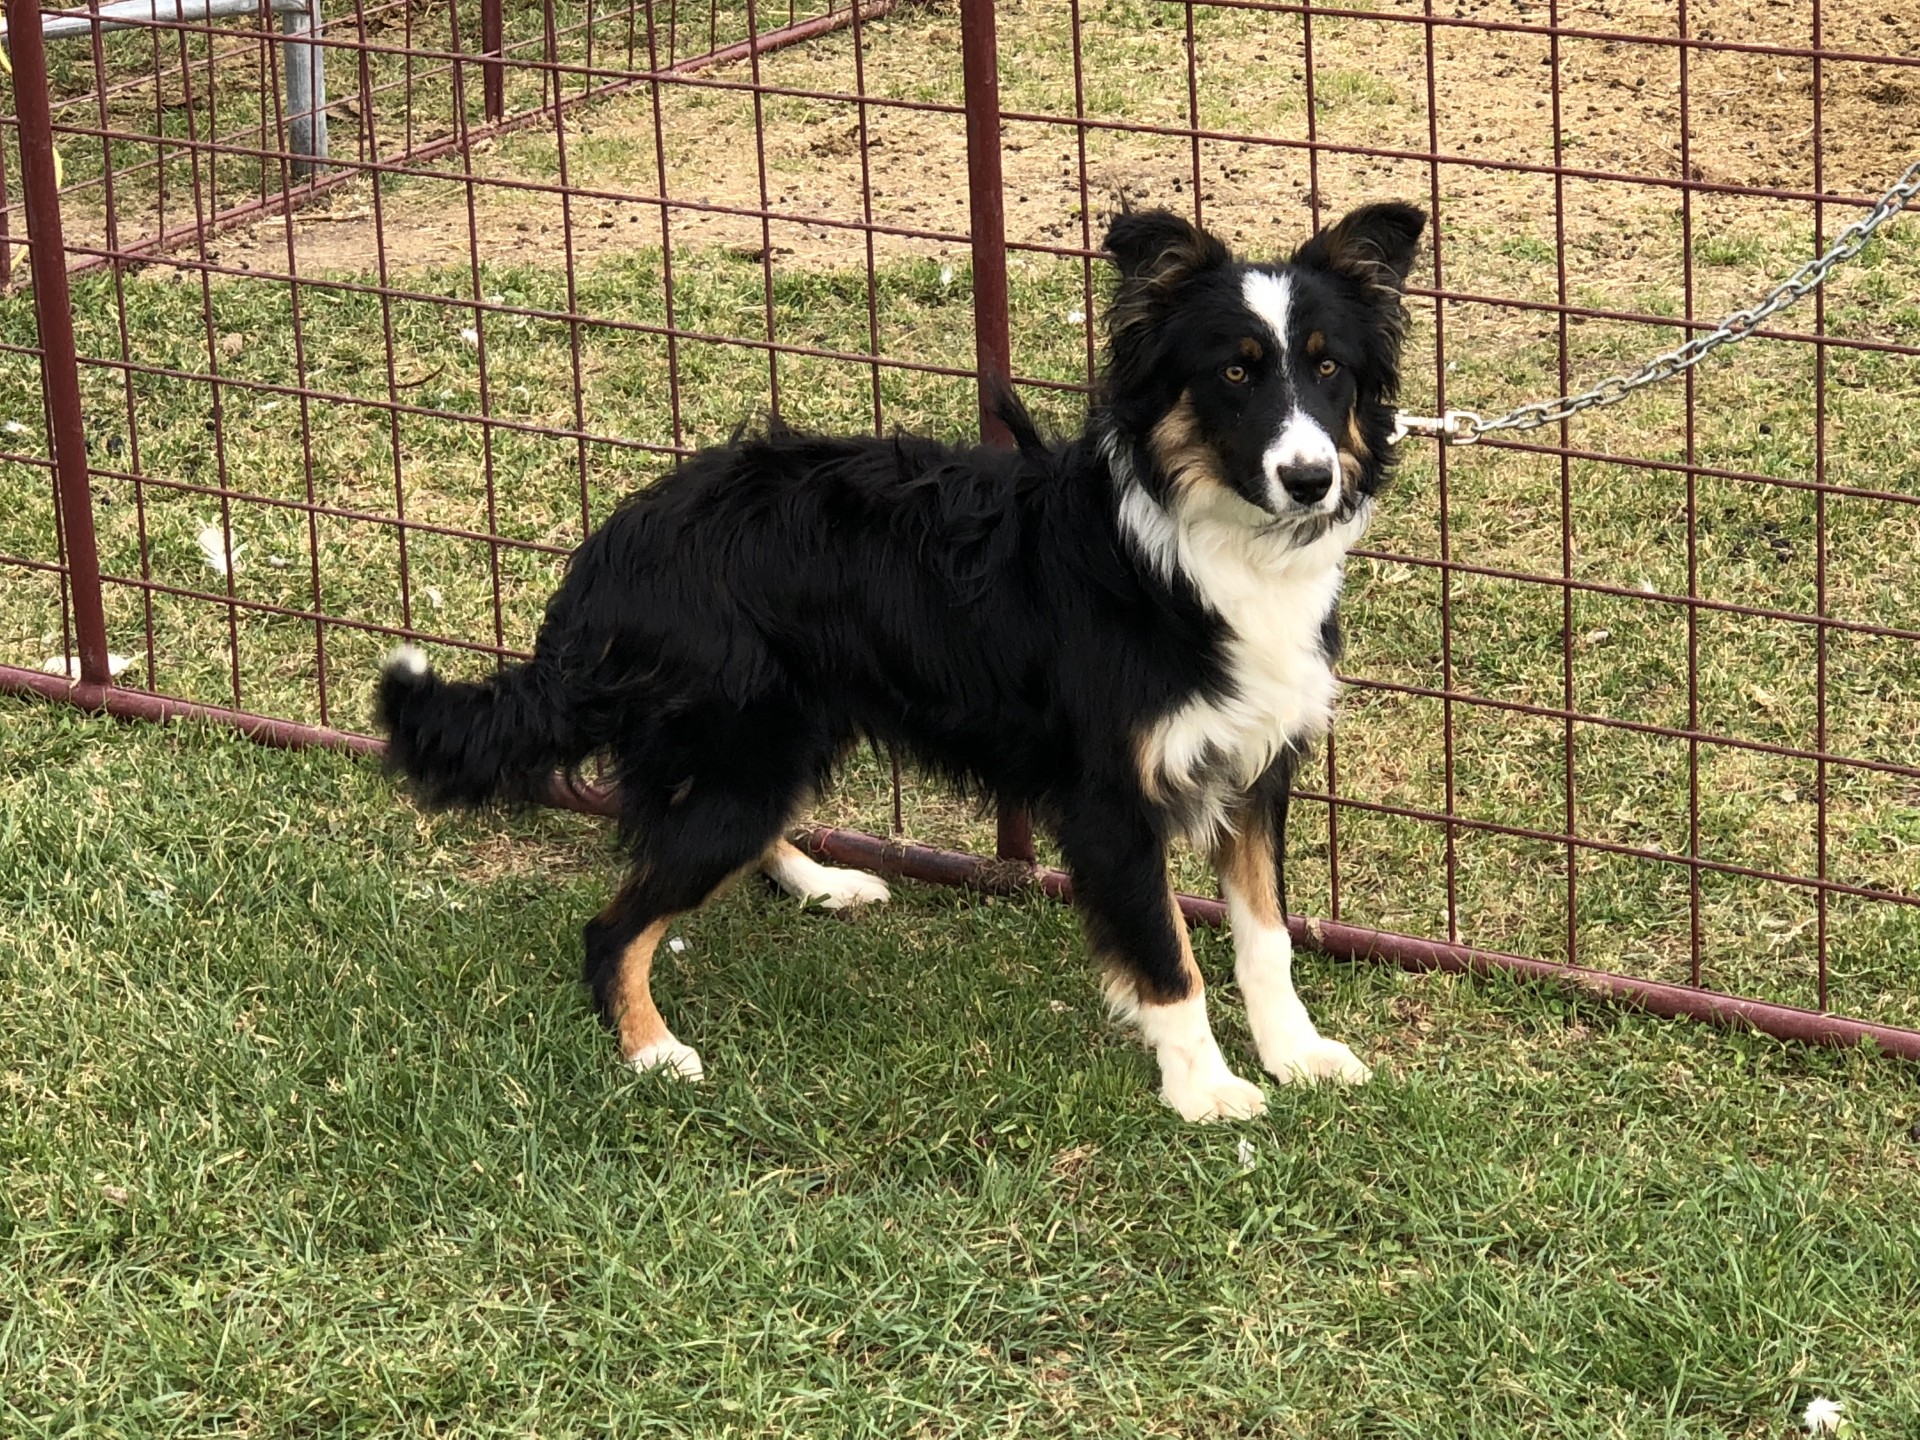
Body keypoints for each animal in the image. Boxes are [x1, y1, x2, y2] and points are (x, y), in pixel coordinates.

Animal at [378, 200, 1428, 1128]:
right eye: (1235, 374)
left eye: (1328, 369)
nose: (1309, 478)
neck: (1195, 550)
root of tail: (615, 548)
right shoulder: (1111, 802)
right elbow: (1171, 957)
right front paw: (1203, 1088)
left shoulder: (1254, 766)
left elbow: (1265, 938)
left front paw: (1296, 1053)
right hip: (743, 759)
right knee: (614, 928)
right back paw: (652, 1048)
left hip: (777, 746)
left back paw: (817, 883)